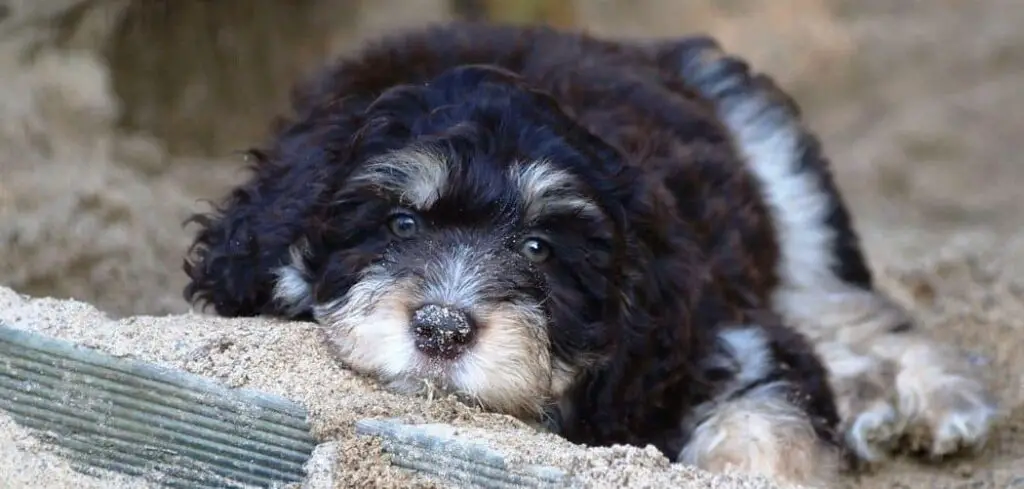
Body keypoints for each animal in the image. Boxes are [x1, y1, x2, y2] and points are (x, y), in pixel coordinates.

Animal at [180, 21, 995, 484]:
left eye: (541, 248)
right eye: (401, 225)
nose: (442, 329)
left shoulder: (720, 332)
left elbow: (768, 421)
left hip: (773, 160)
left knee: (844, 307)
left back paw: (937, 399)